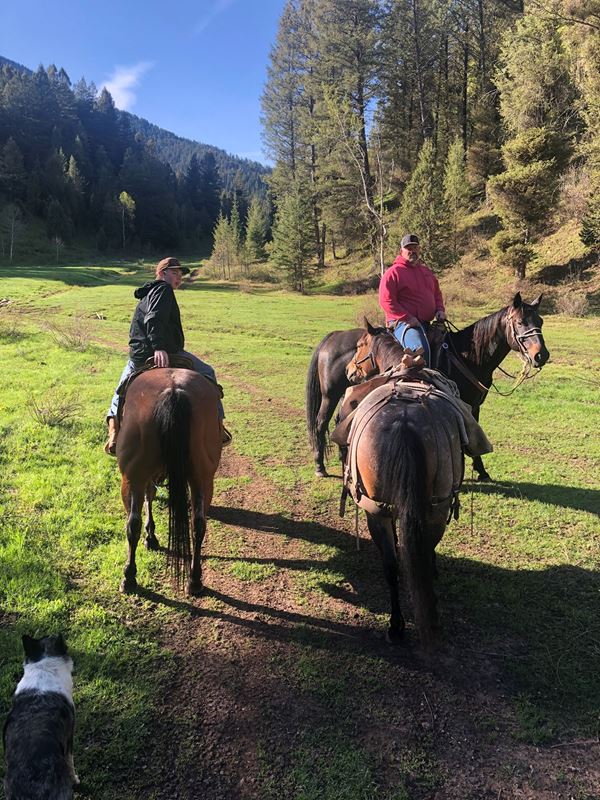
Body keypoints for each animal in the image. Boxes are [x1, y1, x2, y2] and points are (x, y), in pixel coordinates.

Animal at [117, 368, 222, 596]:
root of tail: (173, 391)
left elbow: (147, 501)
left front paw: (151, 537)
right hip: (203, 477)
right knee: (198, 524)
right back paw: (194, 580)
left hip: (132, 476)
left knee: (132, 524)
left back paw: (129, 577)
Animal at [306, 292, 549, 480]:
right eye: (520, 323)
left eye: (540, 321)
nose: (541, 355)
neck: (466, 356)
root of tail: (331, 337)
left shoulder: (473, 406)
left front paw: (480, 470)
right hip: (330, 395)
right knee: (320, 423)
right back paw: (320, 466)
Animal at [337, 354, 466, 647]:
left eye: (360, 348)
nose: (349, 371)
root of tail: (405, 422)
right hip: (434, 509)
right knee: (411, 559)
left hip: (379, 511)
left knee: (392, 566)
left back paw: (397, 625)